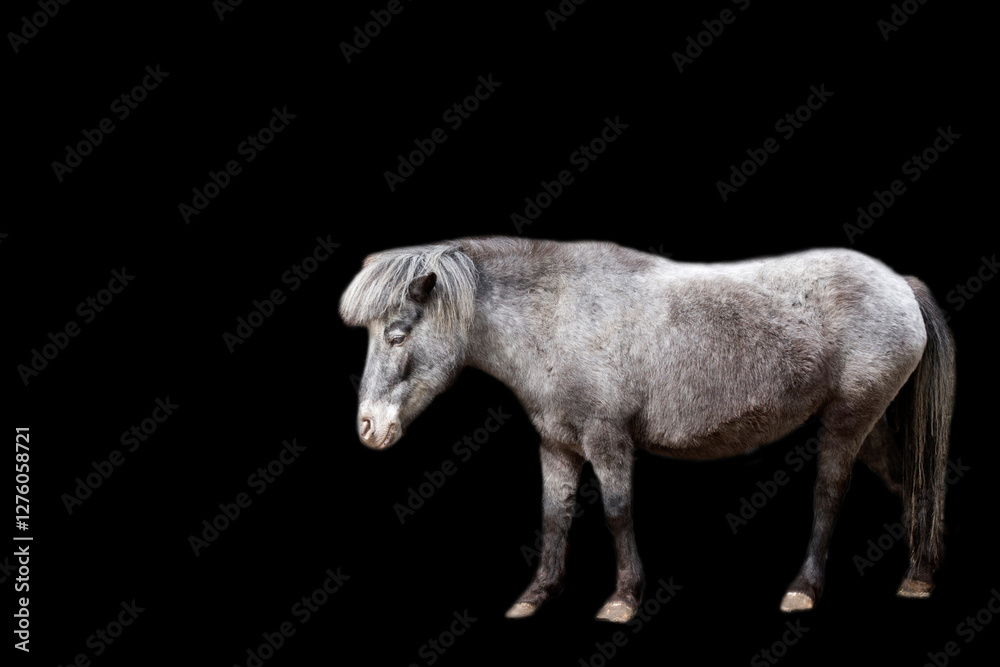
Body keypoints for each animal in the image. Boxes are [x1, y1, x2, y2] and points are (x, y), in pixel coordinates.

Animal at [339, 236, 955, 622]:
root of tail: (900, 284)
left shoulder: (607, 440)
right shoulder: (558, 445)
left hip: (848, 419)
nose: (369, 427)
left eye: (396, 333)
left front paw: (623, 598)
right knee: (908, 484)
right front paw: (536, 595)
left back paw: (805, 589)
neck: (558, 312)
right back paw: (920, 577)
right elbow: (554, 515)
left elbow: (616, 513)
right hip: (869, 424)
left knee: (829, 494)